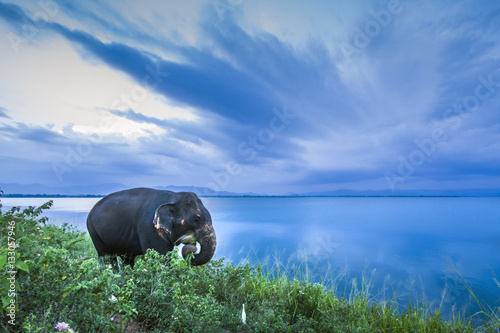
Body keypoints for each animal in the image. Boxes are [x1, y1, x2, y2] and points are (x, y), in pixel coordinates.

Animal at [87, 188, 216, 266]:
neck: (173, 196)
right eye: (197, 219)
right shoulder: (149, 228)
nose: (192, 246)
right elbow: (159, 258)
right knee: (107, 259)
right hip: (94, 232)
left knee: (127, 260)